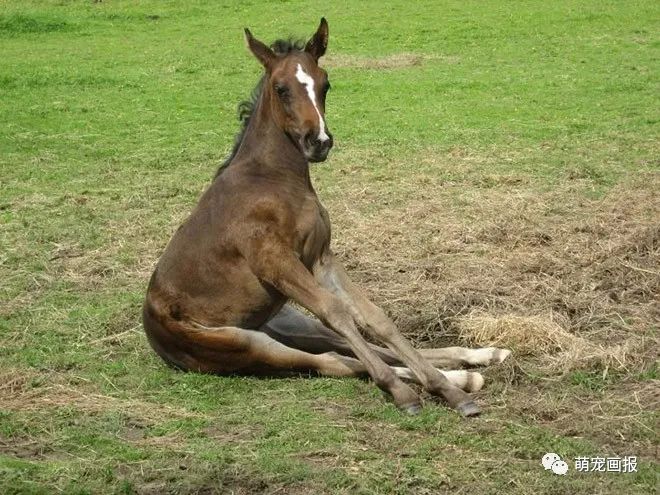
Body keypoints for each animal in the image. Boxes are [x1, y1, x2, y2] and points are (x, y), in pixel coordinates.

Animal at [143, 17, 510, 416]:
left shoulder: (320, 258)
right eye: (281, 88)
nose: (318, 142)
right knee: (336, 360)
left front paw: (450, 391)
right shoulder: (276, 262)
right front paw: (406, 393)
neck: (271, 180)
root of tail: (152, 333)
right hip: (248, 344)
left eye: (325, 83)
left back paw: (477, 362)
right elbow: (336, 310)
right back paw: (442, 379)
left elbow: (374, 318)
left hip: (288, 322)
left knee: (349, 347)